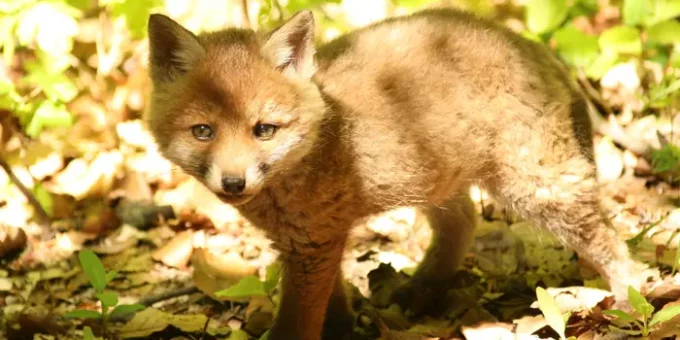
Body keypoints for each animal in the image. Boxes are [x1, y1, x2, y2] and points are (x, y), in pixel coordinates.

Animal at [146, 7, 656, 340]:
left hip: (539, 190)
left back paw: (632, 303)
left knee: (615, 246)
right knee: (464, 223)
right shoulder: (311, 244)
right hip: (437, 180)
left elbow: (296, 324)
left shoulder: (313, 244)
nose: (234, 183)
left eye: (263, 130)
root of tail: (532, 46)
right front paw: (345, 330)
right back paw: (423, 290)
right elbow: (333, 304)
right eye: (203, 131)